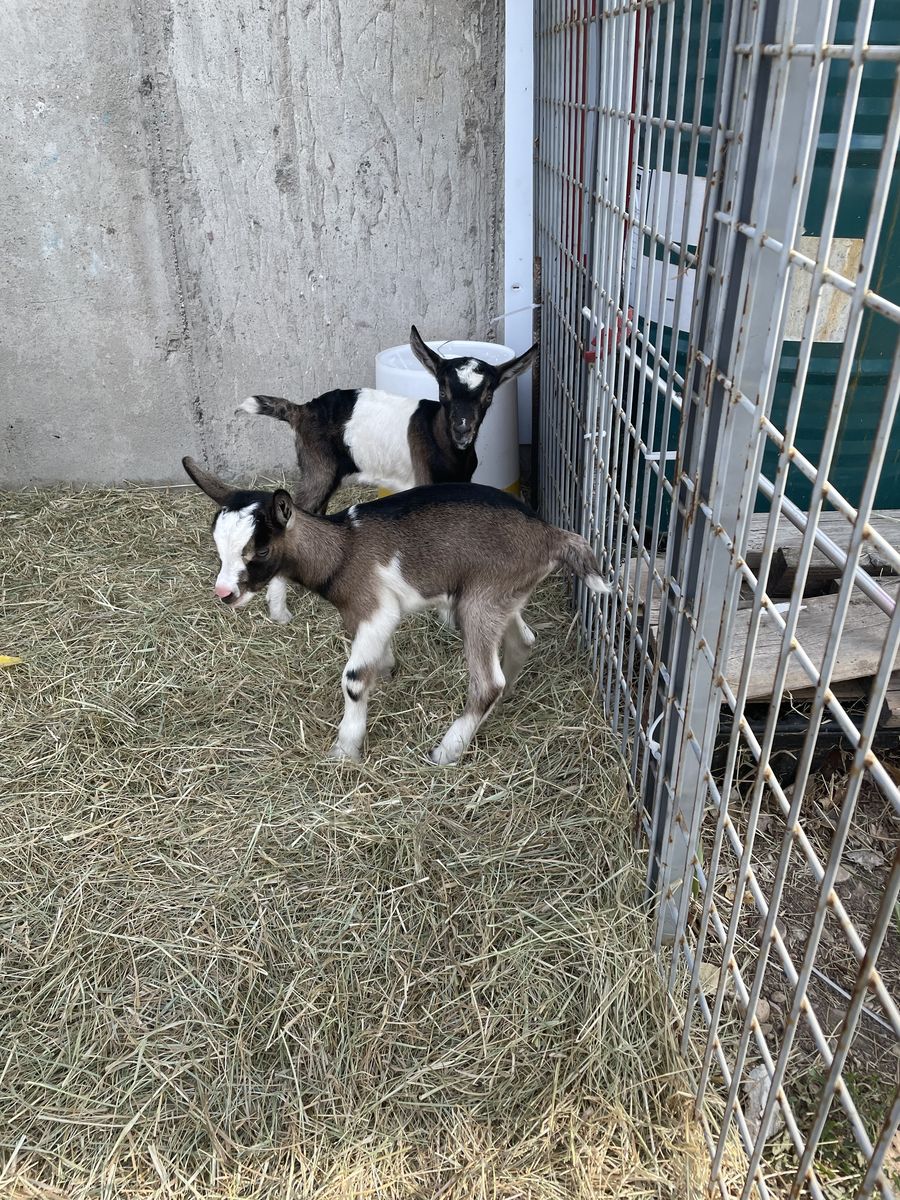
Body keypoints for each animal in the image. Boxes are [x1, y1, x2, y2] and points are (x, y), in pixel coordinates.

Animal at [183, 456, 608, 766]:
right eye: (218, 547)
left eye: (260, 550)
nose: (225, 593)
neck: (342, 550)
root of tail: (551, 535)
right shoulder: (361, 616)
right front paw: (387, 668)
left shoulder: (375, 608)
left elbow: (354, 679)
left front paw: (345, 751)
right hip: (500, 595)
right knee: (523, 641)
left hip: (481, 600)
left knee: (488, 682)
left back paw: (446, 751)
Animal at [237, 325, 536, 514]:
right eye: (443, 391)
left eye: (488, 395)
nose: (462, 429)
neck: (439, 436)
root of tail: (301, 410)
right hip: (318, 467)